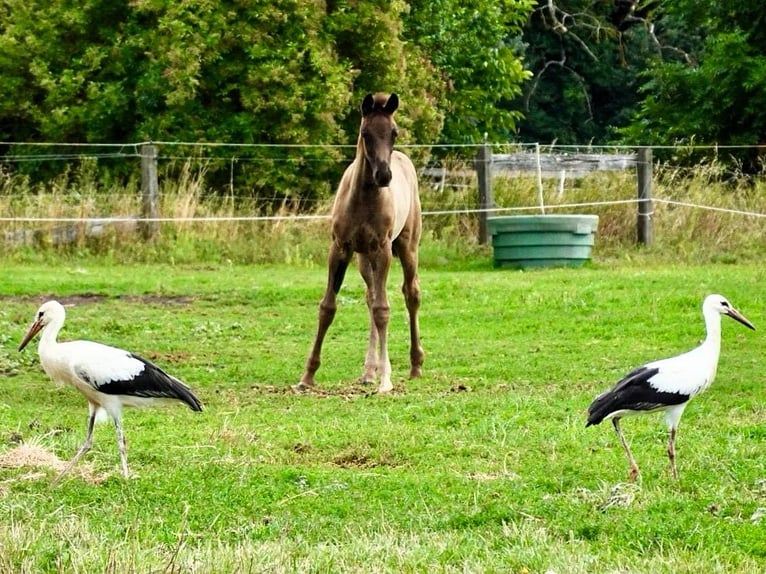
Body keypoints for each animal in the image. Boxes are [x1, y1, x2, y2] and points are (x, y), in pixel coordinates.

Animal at [295, 92, 424, 394]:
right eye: (365, 133)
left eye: (394, 132)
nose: (383, 176)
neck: (364, 199)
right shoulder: (340, 248)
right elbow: (328, 308)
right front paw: (307, 376)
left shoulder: (383, 250)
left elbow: (383, 310)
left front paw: (386, 380)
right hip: (364, 259)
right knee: (371, 296)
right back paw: (368, 372)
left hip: (407, 247)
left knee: (410, 294)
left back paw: (415, 365)